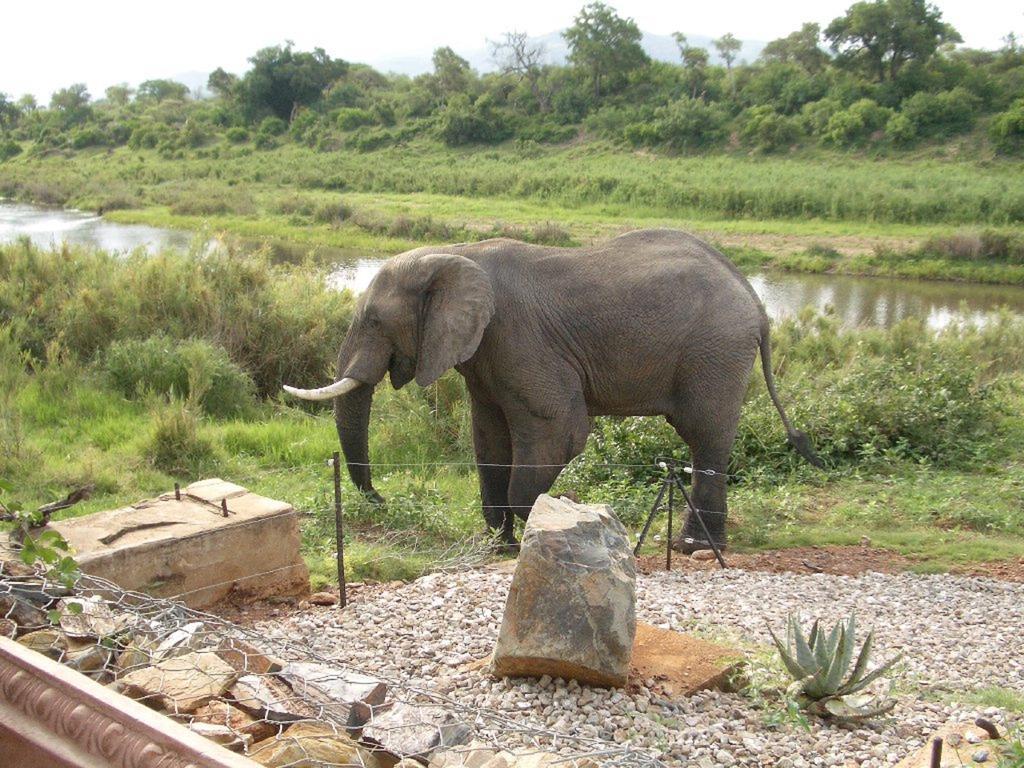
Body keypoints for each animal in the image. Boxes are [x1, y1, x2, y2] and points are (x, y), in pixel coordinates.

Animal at [284, 228, 819, 552]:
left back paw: (695, 549)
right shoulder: (485, 354)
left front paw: (548, 524)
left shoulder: (520, 339)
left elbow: (559, 430)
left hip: (716, 351)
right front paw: (497, 547)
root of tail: (755, 300)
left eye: (375, 321)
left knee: (705, 435)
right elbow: (489, 438)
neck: (457, 251)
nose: (379, 500)